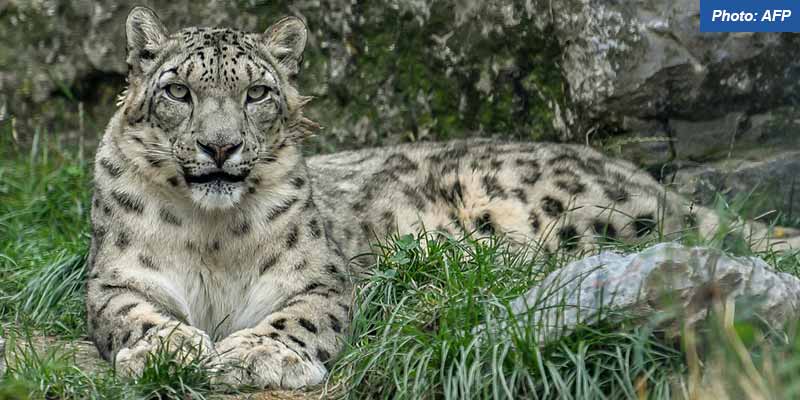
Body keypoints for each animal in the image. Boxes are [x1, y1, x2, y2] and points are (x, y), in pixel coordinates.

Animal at [86, 6, 800, 389]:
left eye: (256, 93)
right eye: (179, 91)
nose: (220, 147)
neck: (212, 236)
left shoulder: (320, 278)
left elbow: (301, 317)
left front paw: (254, 354)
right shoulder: (115, 279)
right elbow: (134, 313)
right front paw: (169, 349)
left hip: (575, 210)